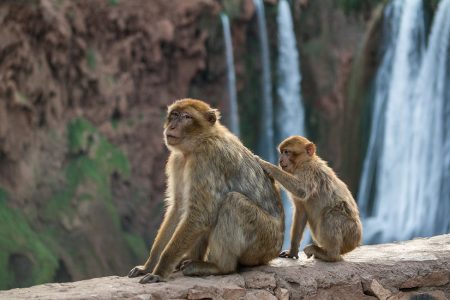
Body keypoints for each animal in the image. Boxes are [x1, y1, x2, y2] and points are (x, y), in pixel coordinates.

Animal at [129, 99, 284, 284]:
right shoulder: (177, 160)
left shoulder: (206, 159)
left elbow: (201, 214)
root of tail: (276, 250)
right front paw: (149, 265)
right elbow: (179, 207)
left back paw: (219, 267)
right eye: (174, 115)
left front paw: (159, 272)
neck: (200, 141)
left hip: (264, 242)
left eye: (186, 117)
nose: (172, 126)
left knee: (232, 202)